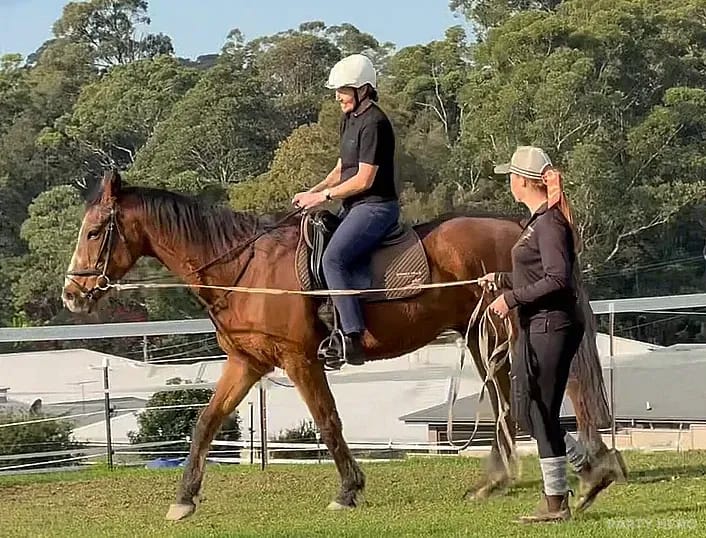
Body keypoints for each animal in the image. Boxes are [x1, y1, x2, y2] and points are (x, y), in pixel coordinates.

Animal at [62, 170, 624, 521]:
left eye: (93, 232)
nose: (72, 294)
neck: (245, 269)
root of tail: (515, 225)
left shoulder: (300, 359)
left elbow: (328, 421)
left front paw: (348, 490)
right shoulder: (246, 362)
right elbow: (205, 424)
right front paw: (183, 500)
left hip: (506, 329)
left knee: (551, 393)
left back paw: (590, 467)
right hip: (482, 333)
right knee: (510, 398)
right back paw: (507, 477)